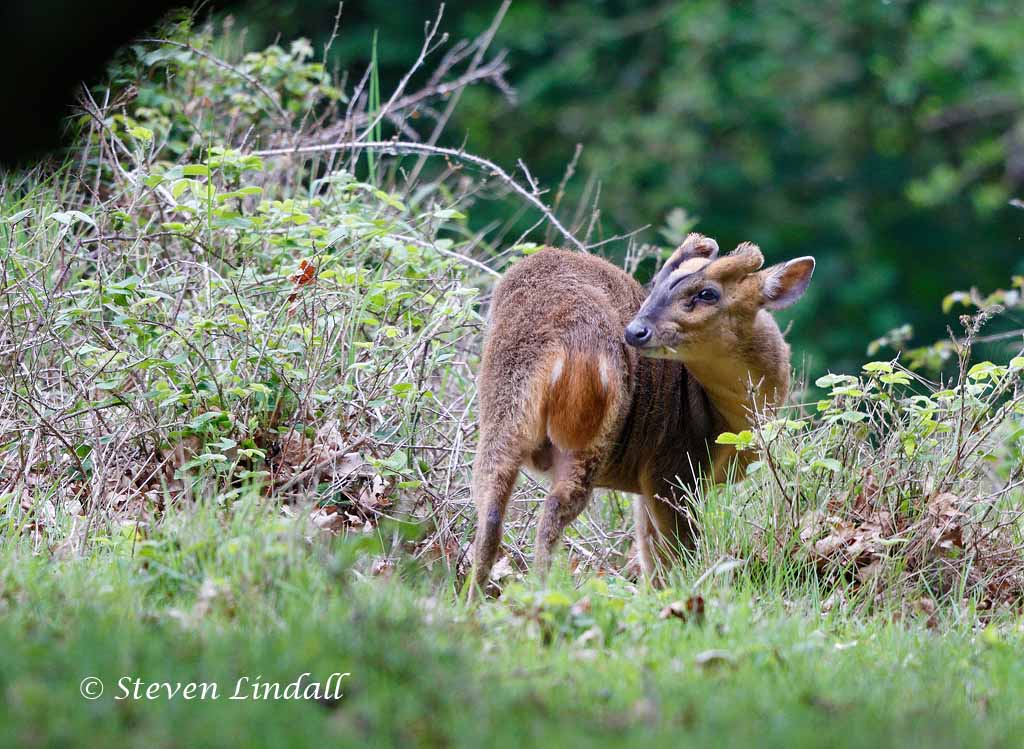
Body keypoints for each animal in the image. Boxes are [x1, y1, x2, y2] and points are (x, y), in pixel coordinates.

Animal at [471, 234, 815, 590]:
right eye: (656, 283)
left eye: (707, 293)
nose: (635, 331)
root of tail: (558, 338)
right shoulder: (675, 467)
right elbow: (674, 552)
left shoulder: (648, 481)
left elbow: (649, 549)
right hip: (589, 431)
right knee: (552, 509)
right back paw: (542, 589)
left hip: (503, 412)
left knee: (489, 510)